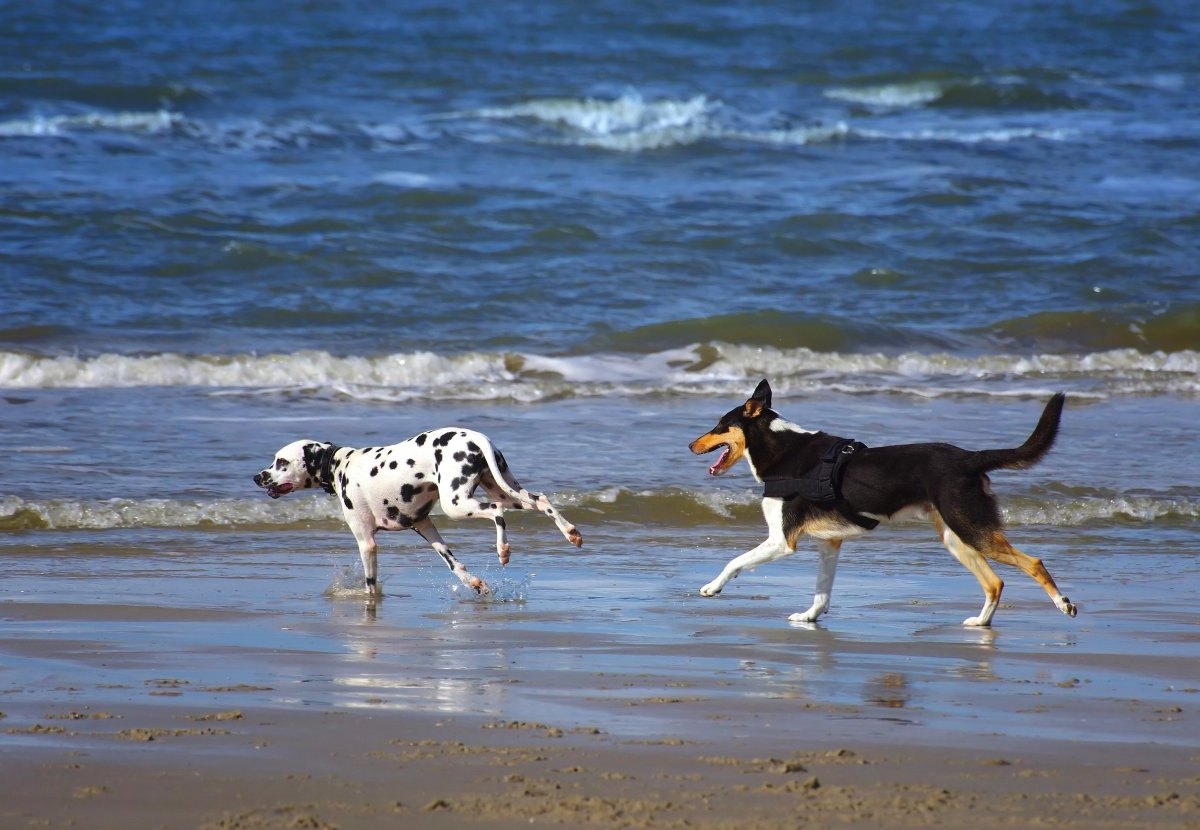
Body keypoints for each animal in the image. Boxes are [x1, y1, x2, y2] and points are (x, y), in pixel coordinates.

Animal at [255, 426, 583, 597]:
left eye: (281, 461)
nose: (258, 477)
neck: (339, 465)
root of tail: (475, 436)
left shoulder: (367, 543)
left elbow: (370, 585)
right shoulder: (425, 527)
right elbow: (453, 564)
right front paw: (474, 583)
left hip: (458, 504)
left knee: (497, 512)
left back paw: (503, 550)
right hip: (504, 488)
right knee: (541, 501)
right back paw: (571, 533)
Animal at [696, 379, 1080, 623]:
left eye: (719, 425)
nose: (690, 445)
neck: (784, 451)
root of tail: (969, 458)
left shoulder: (781, 540)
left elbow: (734, 561)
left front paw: (712, 587)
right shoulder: (830, 542)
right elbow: (822, 591)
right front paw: (809, 617)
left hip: (971, 529)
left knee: (1033, 563)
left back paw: (1063, 604)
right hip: (955, 538)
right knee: (995, 582)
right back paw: (980, 624)